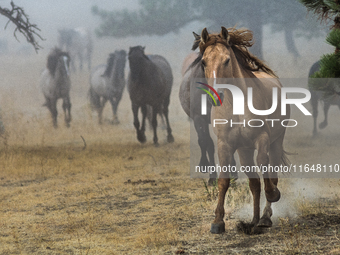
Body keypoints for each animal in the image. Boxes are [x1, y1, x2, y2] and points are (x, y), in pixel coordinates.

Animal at [198, 27, 290, 233]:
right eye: (203, 62)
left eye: (227, 60)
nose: (215, 95)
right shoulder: (225, 145)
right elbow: (224, 180)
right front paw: (218, 222)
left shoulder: (262, 139)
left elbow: (264, 165)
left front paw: (273, 195)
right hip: (244, 150)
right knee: (254, 184)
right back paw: (254, 221)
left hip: (276, 141)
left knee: (272, 173)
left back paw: (264, 218)